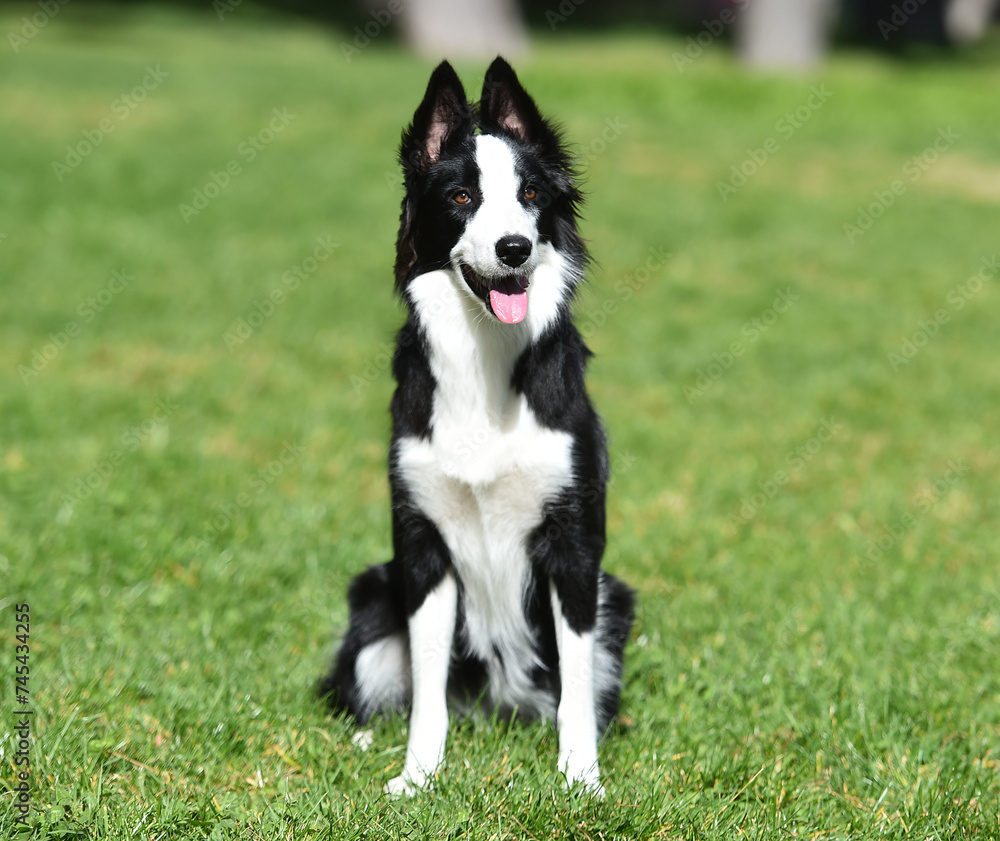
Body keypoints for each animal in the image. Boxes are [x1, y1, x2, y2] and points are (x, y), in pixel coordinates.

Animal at [320, 57, 632, 796]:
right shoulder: (424, 544)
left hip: (617, 597)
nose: (514, 249)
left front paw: (581, 778)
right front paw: (417, 777)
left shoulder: (575, 546)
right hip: (373, 595)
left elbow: (577, 688)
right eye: (462, 197)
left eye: (529, 193)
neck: (486, 356)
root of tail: (493, 705)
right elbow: (427, 692)